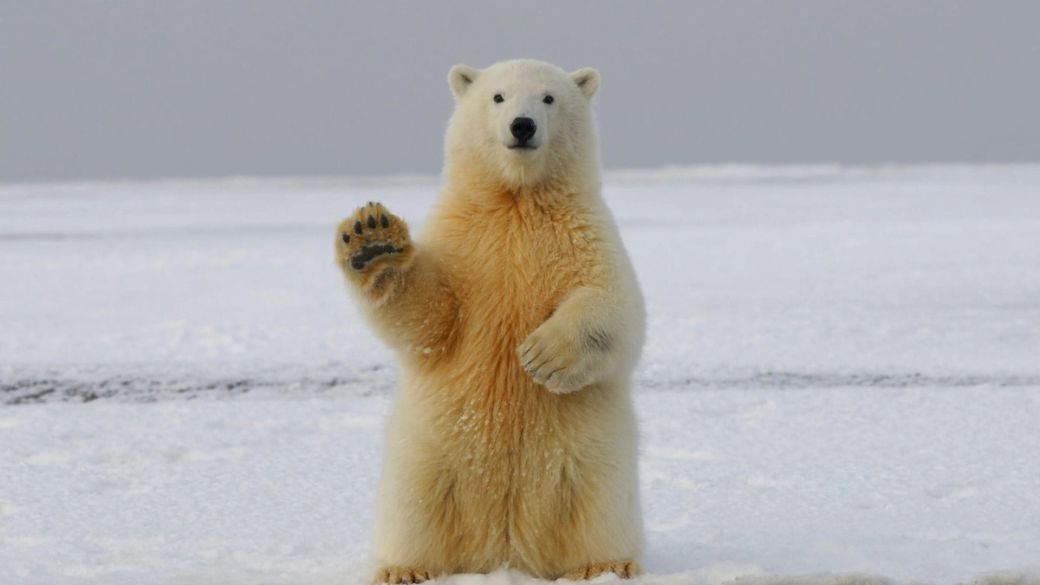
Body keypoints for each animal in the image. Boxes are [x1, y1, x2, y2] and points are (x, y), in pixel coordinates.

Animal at [334, 59, 645, 583]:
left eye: (548, 98)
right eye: (498, 97)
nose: (522, 126)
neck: (516, 201)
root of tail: (505, 548)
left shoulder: (585, 235)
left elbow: (616, 307)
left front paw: (542, 356)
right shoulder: (464, 242)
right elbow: (430, 317)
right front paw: (372, 240)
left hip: (591, 459)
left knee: (599, 506)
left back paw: (605, 564)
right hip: (428, 455)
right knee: (414, 508)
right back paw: (404, 568)